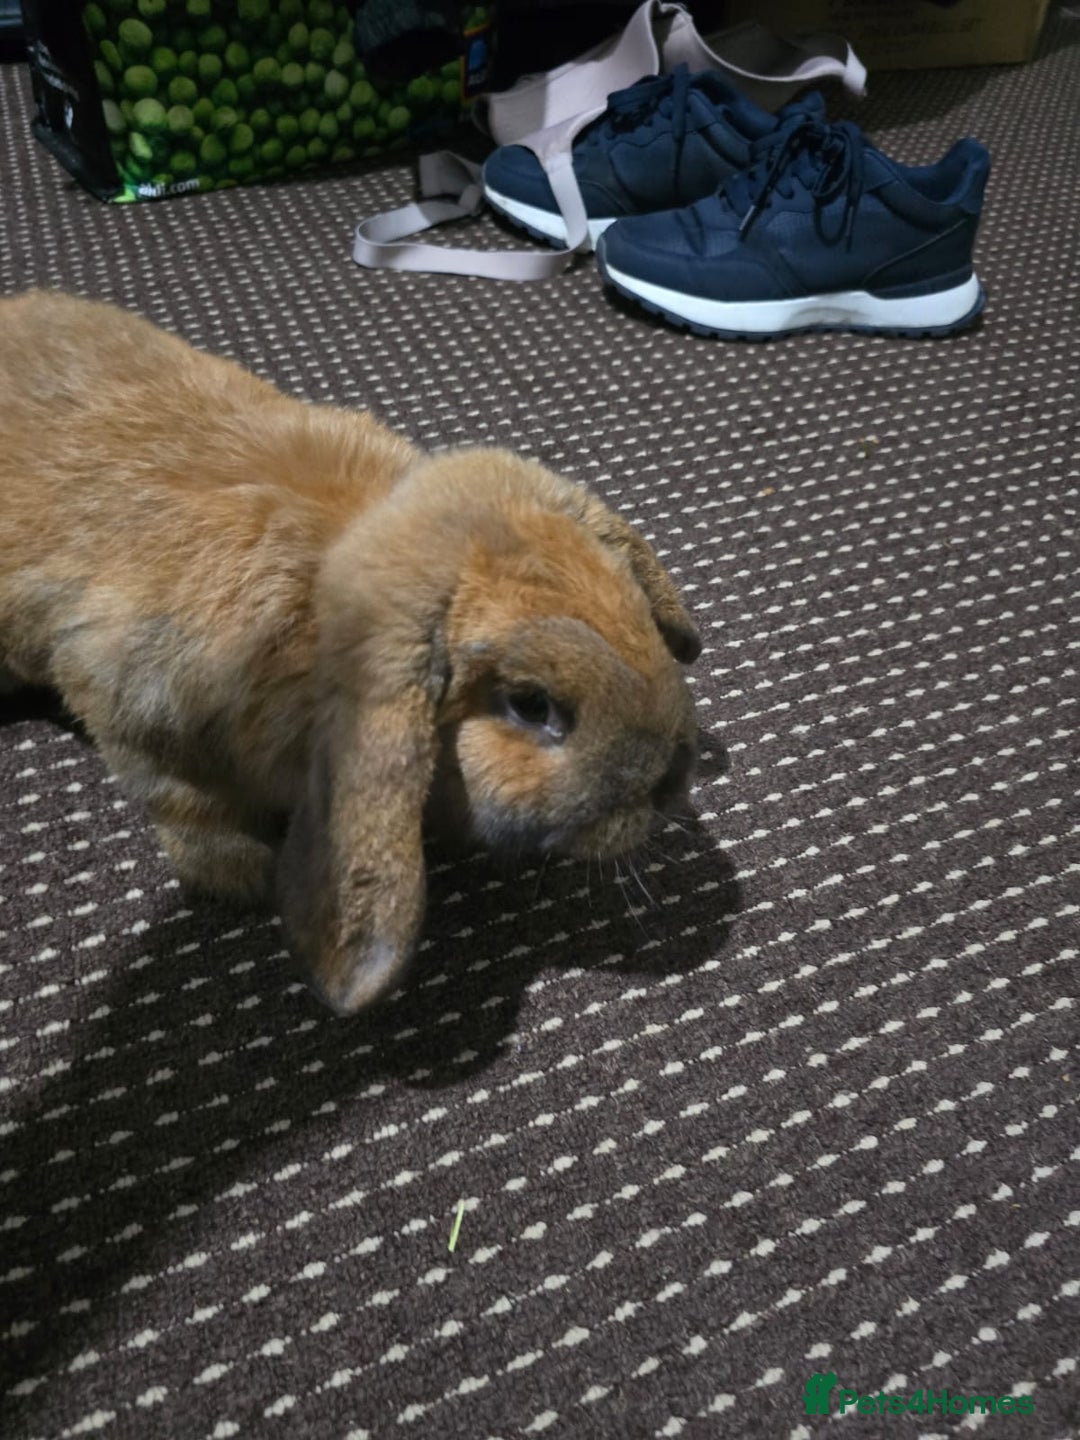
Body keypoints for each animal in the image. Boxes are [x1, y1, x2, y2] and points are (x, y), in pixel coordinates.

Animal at [0, 290, 702, 1014]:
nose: (676, 779)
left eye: (641, 615)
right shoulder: (129, 707)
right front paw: (242, 877)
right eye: (531, 705)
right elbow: (186, 804)